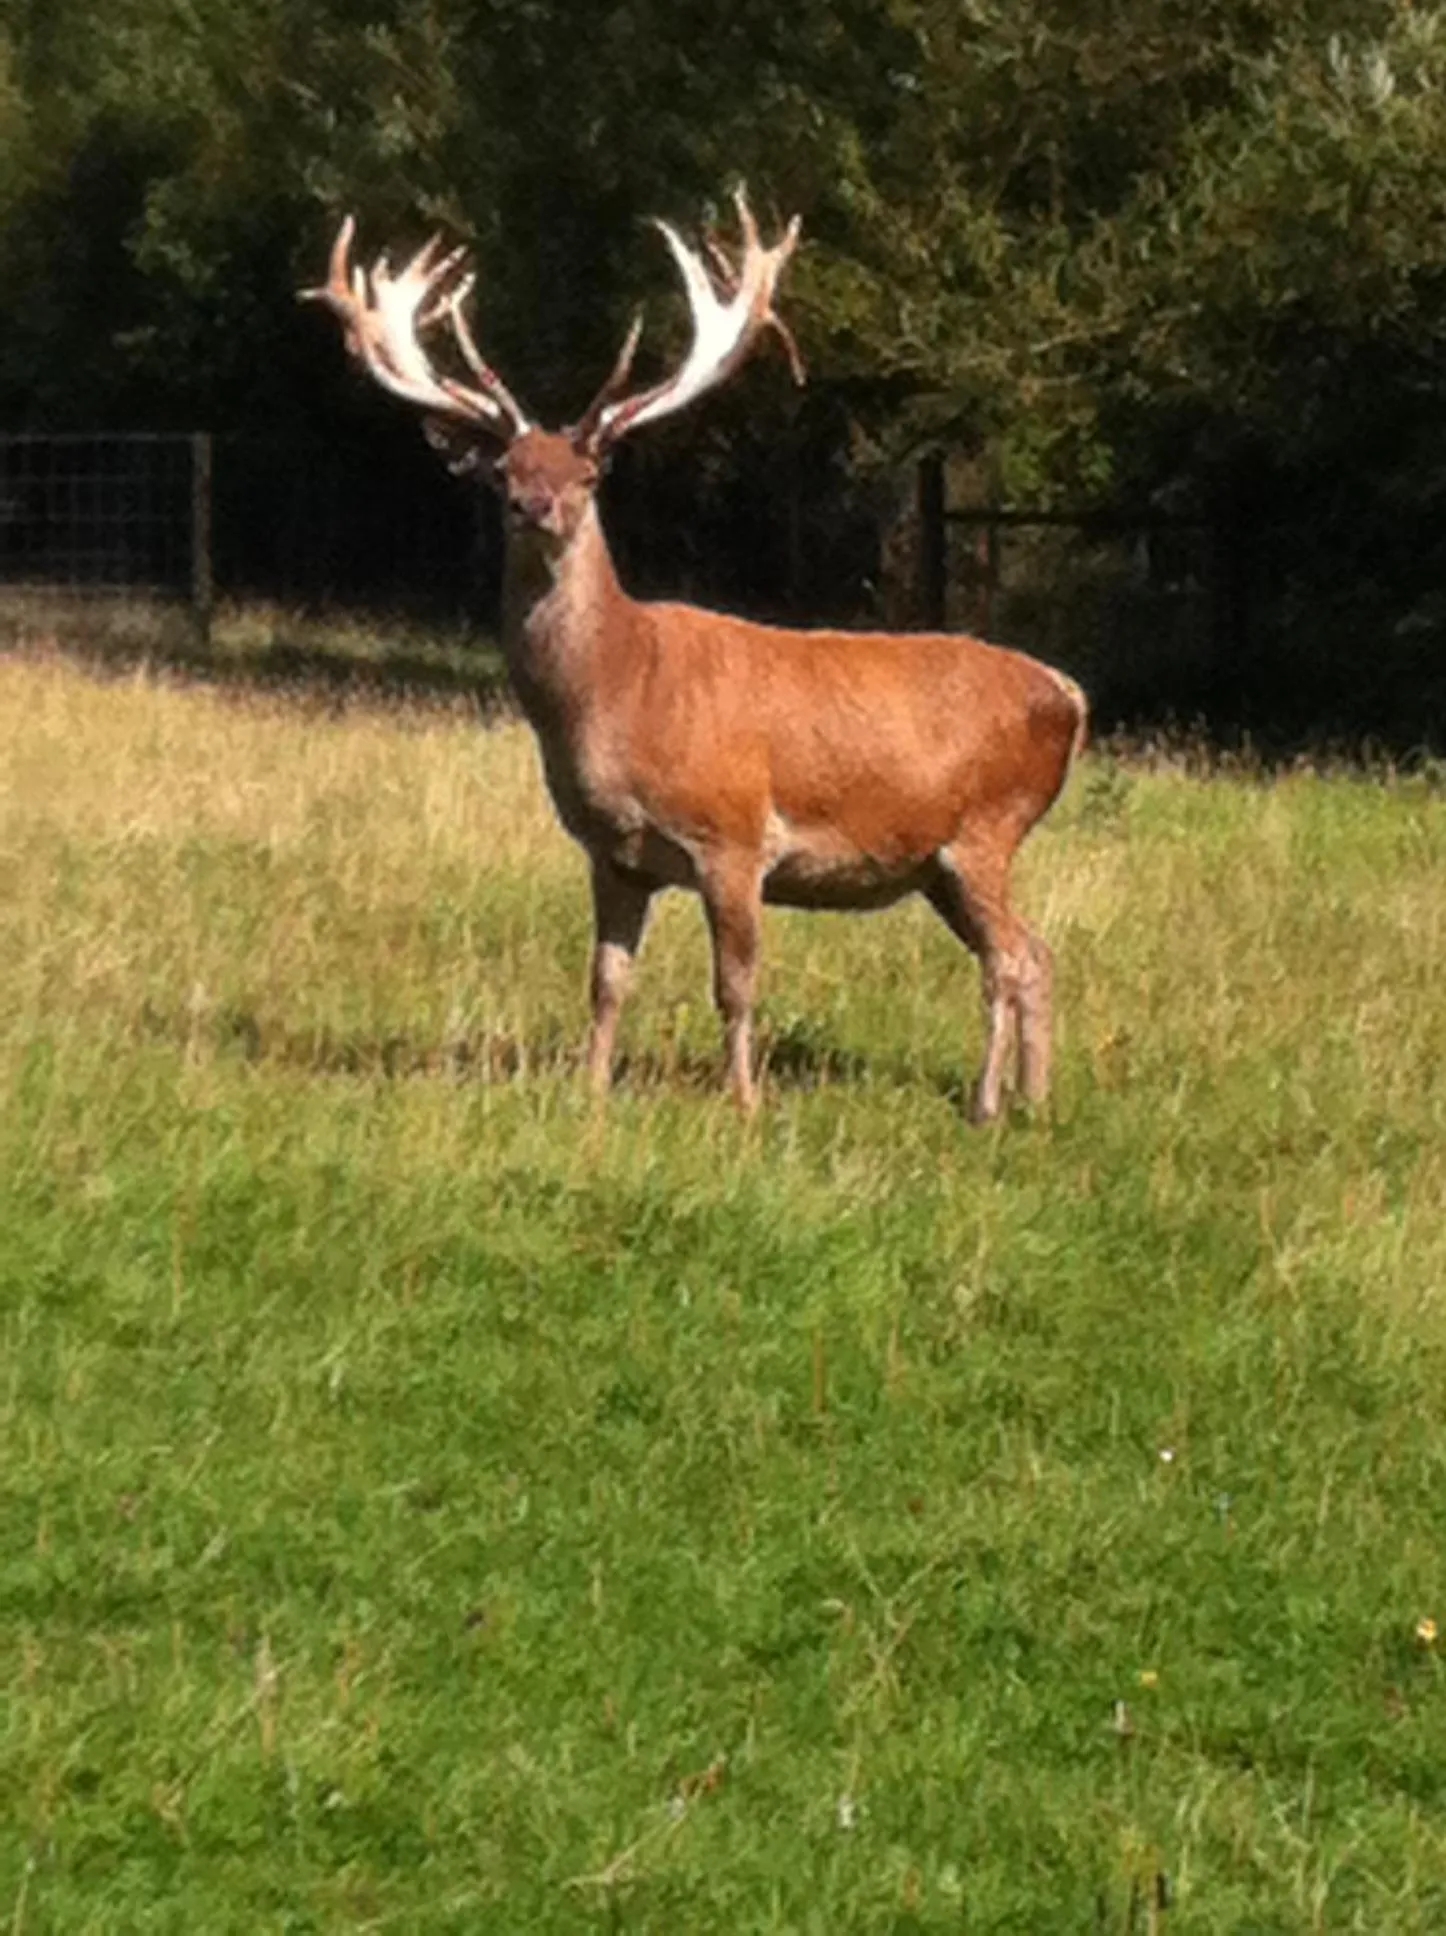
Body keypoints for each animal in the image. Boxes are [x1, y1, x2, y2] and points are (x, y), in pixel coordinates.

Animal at [303, 188, 1087, 1123]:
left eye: (590, 471)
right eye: (503, 470)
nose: (536, 505)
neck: (619, 693)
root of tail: (1072, 697)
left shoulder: (734, 836)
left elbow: (736, 984)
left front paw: (743, 1102)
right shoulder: (612, 853)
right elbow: (606, 981)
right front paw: (592, 1092)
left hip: (987, 827)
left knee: (1008, 959)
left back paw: (987, 1104)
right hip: (940, 861)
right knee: (1035, 952)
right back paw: (1037, 1099)